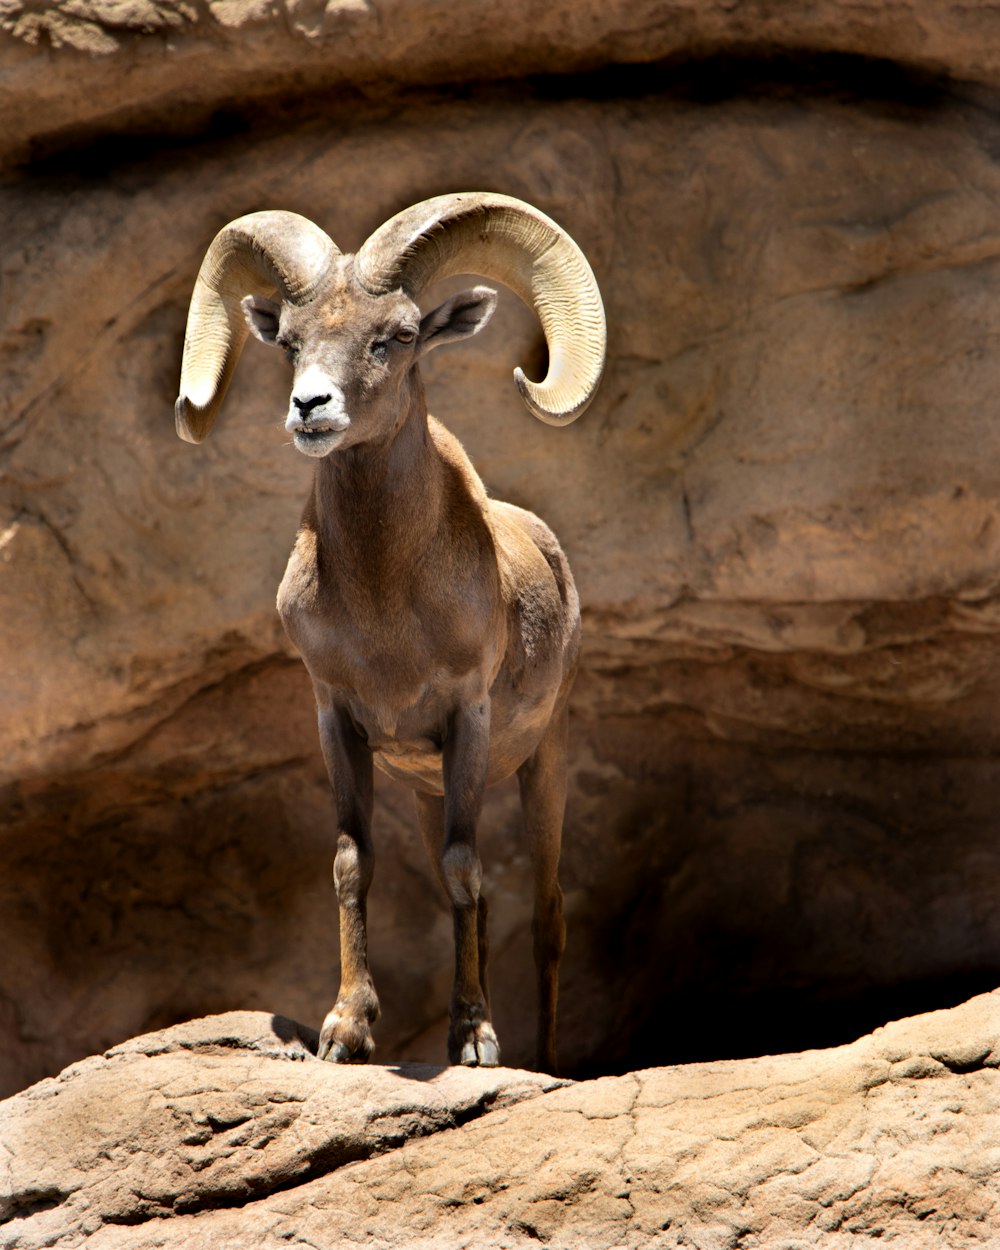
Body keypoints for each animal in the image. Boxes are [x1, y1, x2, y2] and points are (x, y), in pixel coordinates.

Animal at [176, 190, 605, 1070]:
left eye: (398, 336)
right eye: (291, 342)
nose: (310, 408)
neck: (386, 618)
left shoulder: (467, 721)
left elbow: (465, 865)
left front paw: (473, 1038)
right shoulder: (339, 720)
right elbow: (354, 864)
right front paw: (347, 1029)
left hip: (542, 761)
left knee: (547, 915)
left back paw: (544, 1061)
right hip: (428, 786)